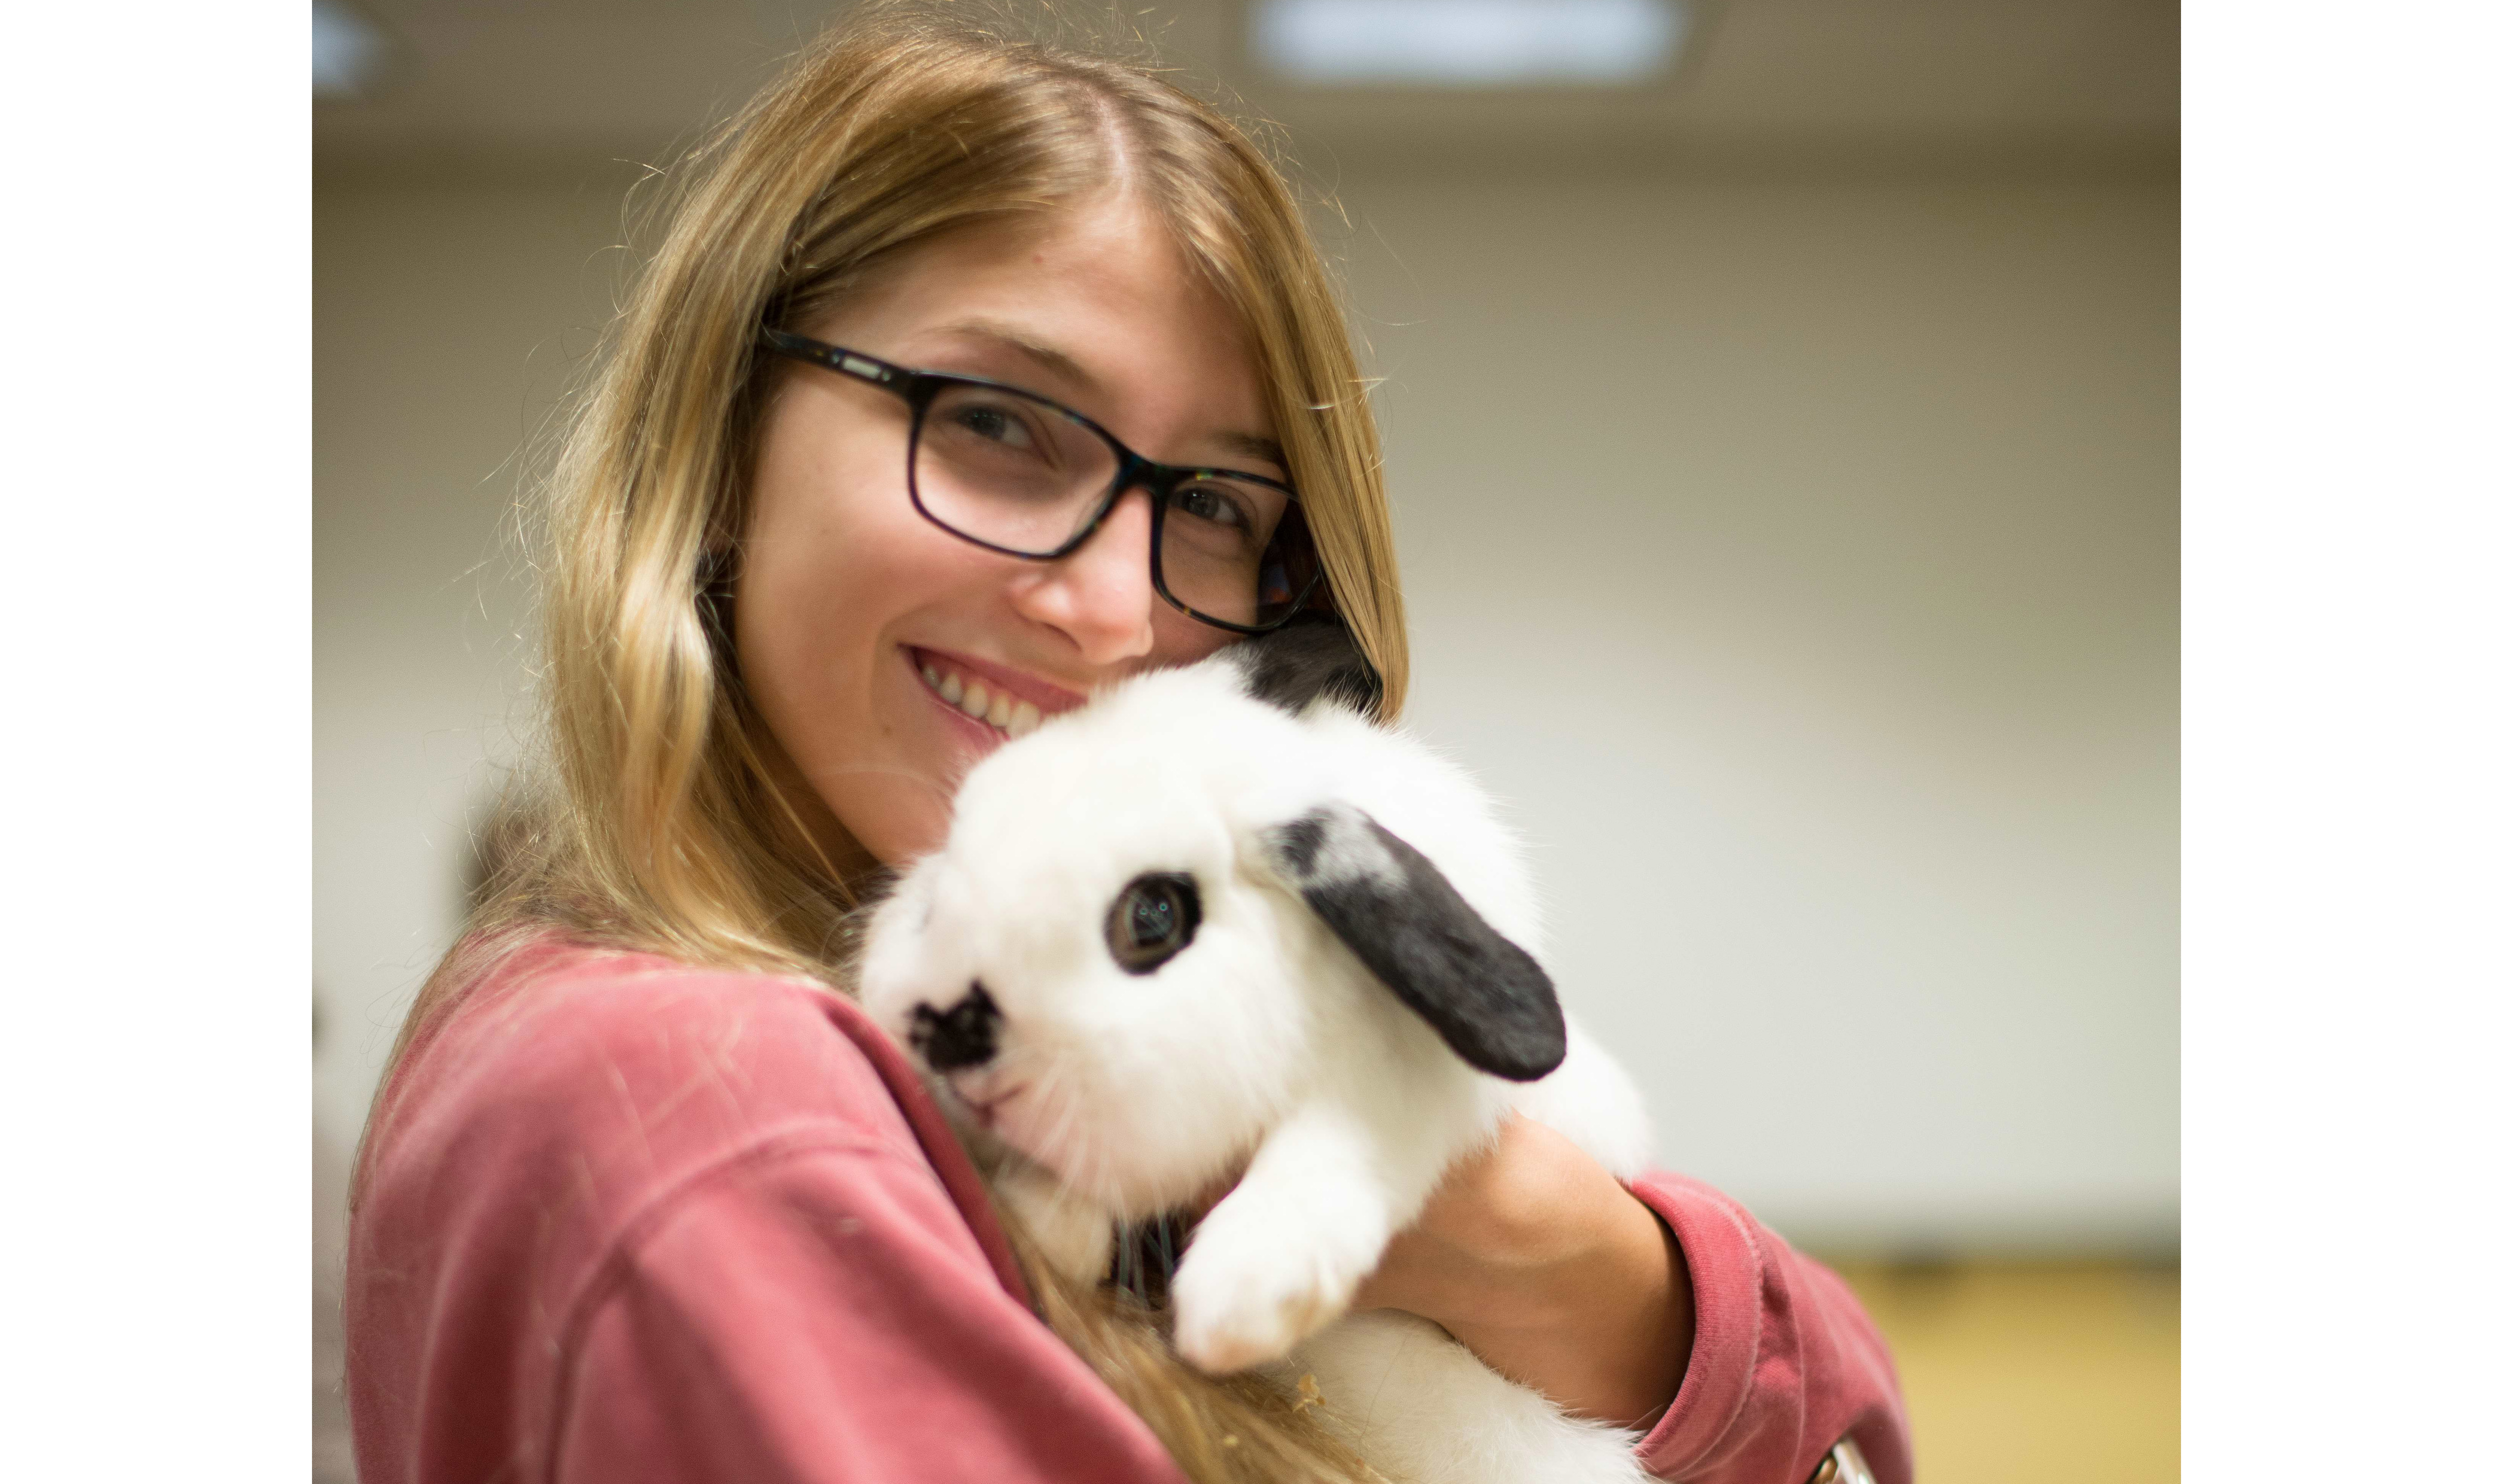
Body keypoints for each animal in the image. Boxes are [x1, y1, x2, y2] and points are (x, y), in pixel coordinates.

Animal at [857, 626, 1655, 1484]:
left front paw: (1242, 1298)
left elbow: (1343, 1146)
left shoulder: (1413, 1082)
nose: (946, 1028)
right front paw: (1053, 1221)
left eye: (1155, 915)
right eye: (953, 845)